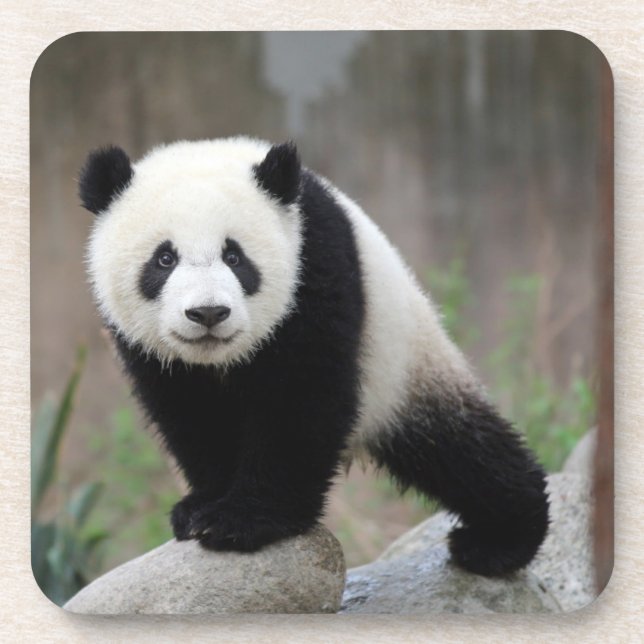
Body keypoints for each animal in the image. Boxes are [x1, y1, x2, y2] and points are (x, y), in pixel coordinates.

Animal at [80, 137, 549, 577]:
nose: (208, 313)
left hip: (404, 363)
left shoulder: (315, 265)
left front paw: (243, 520)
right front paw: (200, 507)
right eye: (164, 258)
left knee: (460, 449)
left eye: (235, 256)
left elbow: (302, 399)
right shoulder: (152, 351)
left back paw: (499, 540)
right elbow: (191, 414)